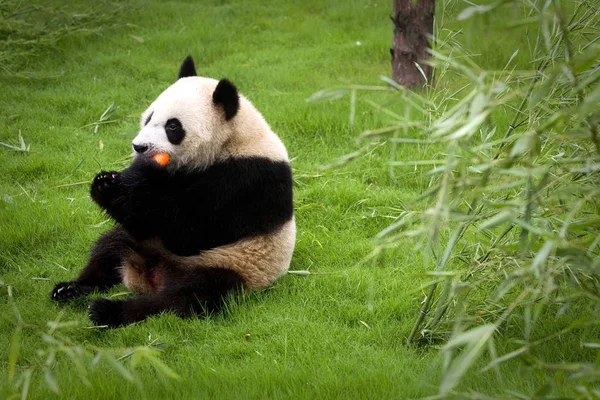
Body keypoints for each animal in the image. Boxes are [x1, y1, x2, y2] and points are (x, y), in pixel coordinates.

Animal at [51, 54, 296, 326]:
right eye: (148, 117)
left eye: (173, 126)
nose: (139, 147)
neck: (231, 141)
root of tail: (149, 277)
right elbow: (143, 220)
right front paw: (106, 183)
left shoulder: (246, 180)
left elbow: (190, 233)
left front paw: (138, 176)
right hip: (143, 245)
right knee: (109, 248)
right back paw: (70, 289)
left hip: (233, 263)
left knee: (190, 295)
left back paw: (110, 311)